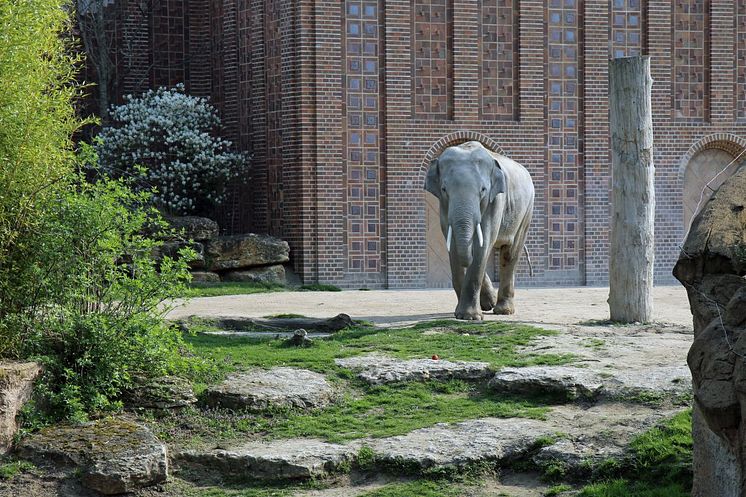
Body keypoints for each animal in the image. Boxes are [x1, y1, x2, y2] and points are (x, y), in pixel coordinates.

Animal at [422, 140, 532, 318]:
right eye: (444, 189)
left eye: (483, 190)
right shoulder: (443, 206)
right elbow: (454, 245)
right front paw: (462, 314)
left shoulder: (496, 201)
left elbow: (483, 243)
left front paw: (469, 316)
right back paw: (490, 305)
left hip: (526, 212)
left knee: (510, 253)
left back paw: (503, 311)